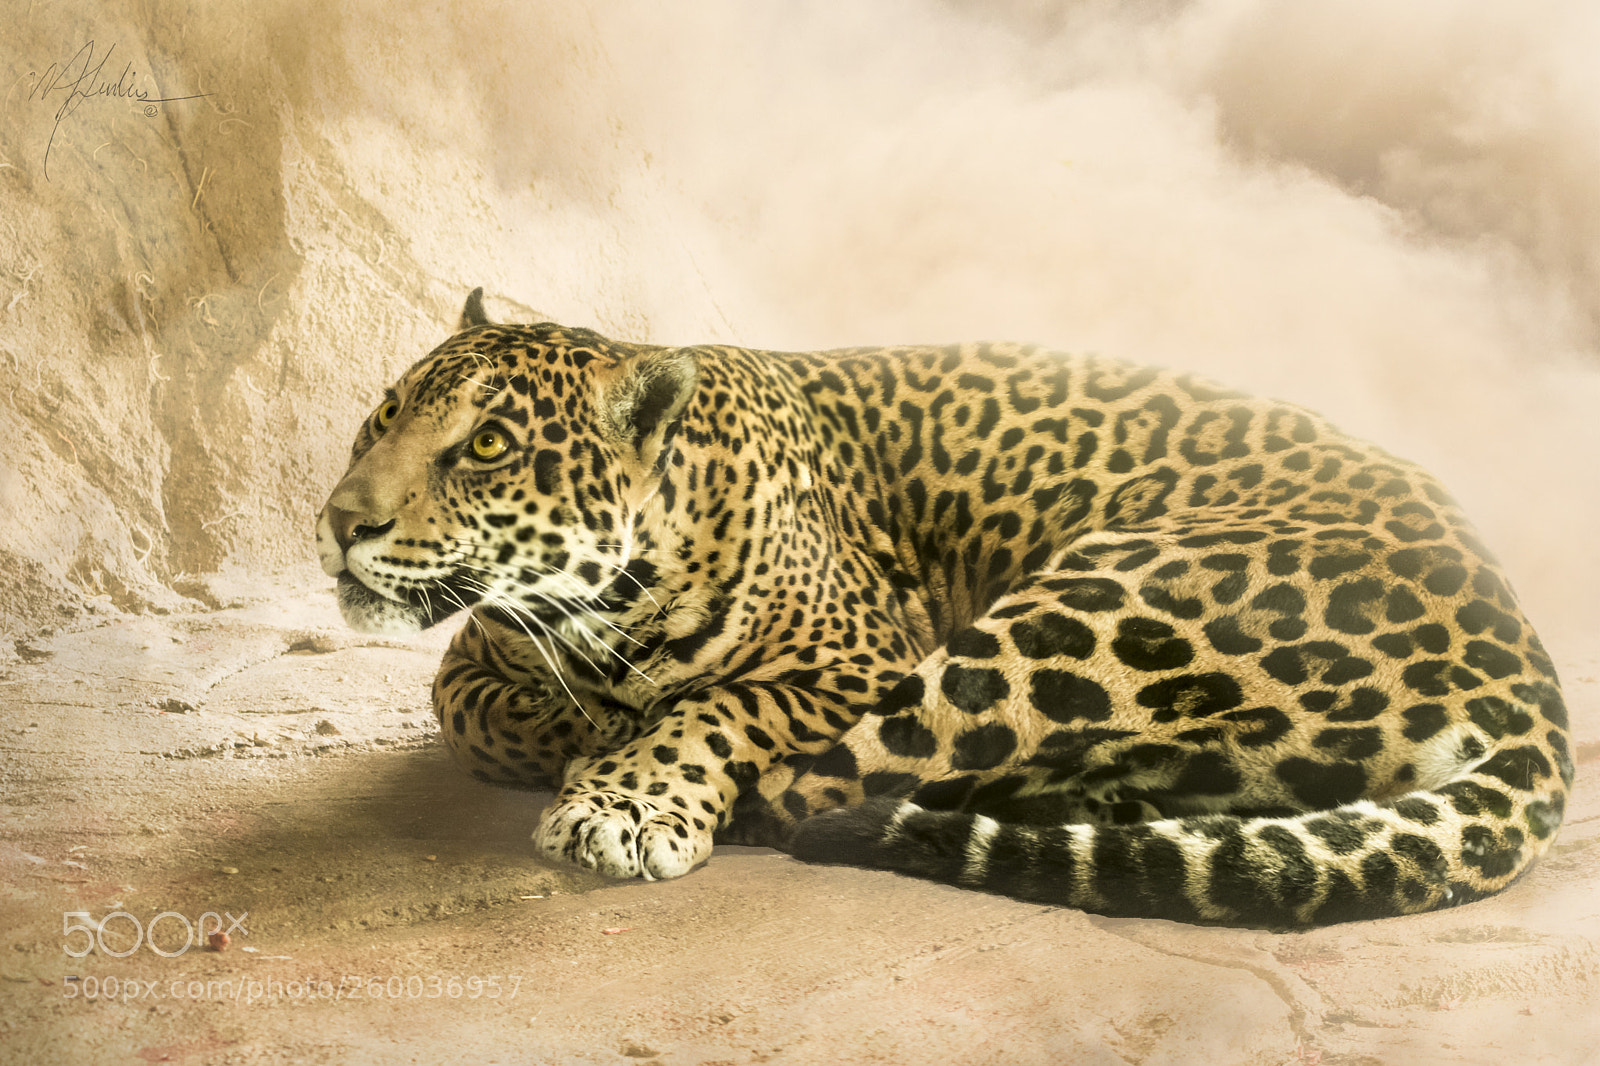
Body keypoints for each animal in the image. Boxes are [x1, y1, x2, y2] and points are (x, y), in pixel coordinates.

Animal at [316, 288, 1571, 927]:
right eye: (382, 414)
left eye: (487, 446)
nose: (339, 521)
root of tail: (1522, 658)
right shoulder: (470, 666)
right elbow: (486, 714)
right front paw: (582, 728)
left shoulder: (857, 657)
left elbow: (718, 709)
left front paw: (623, 796)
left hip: (1083, 602)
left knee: (822, 785)